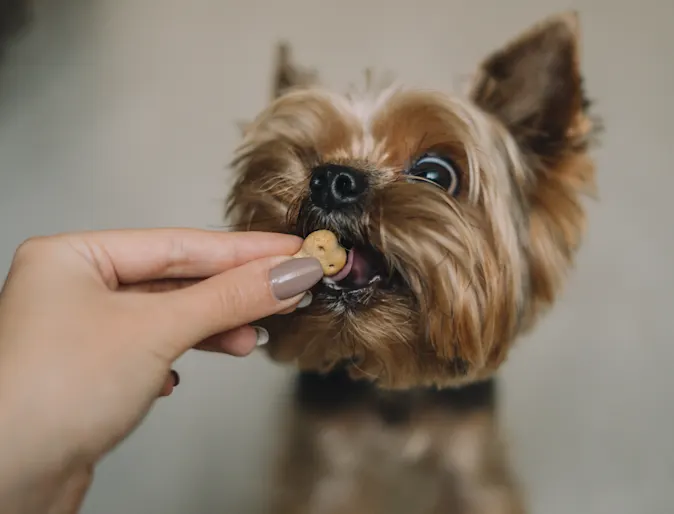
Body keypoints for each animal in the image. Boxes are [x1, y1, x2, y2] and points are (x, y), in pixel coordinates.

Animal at [227, 12, 600, 512]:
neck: (392, 380)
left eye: (436, 173)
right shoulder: (326, 473)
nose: (330, 179)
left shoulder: (473, 466)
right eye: (307, 158)